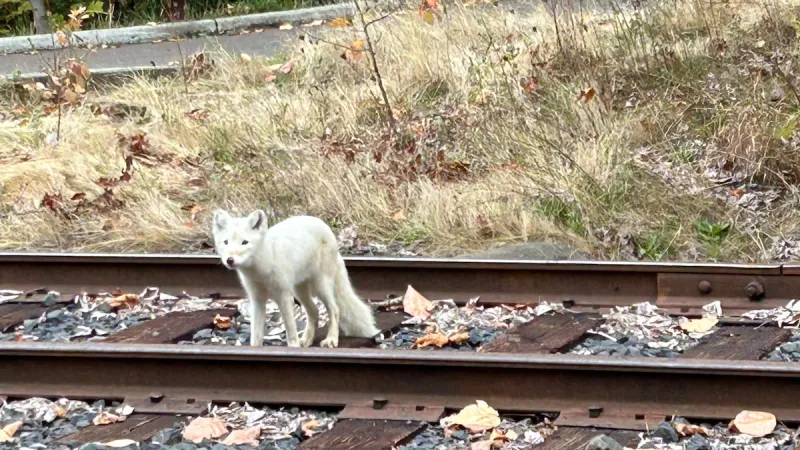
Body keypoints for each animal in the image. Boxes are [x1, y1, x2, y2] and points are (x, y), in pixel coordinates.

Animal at [211, 209, 381, 348]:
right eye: (226, 242)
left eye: (244, 242)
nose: (230, 260)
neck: (261, 268)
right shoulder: (257, 299)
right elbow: (256, 335)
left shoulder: (284, 296)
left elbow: (290, 331)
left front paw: (293, 347)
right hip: (300, 290)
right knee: (314, 311)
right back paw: (306, 340)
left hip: (320, 287)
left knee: (334, 309)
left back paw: (331, 340)